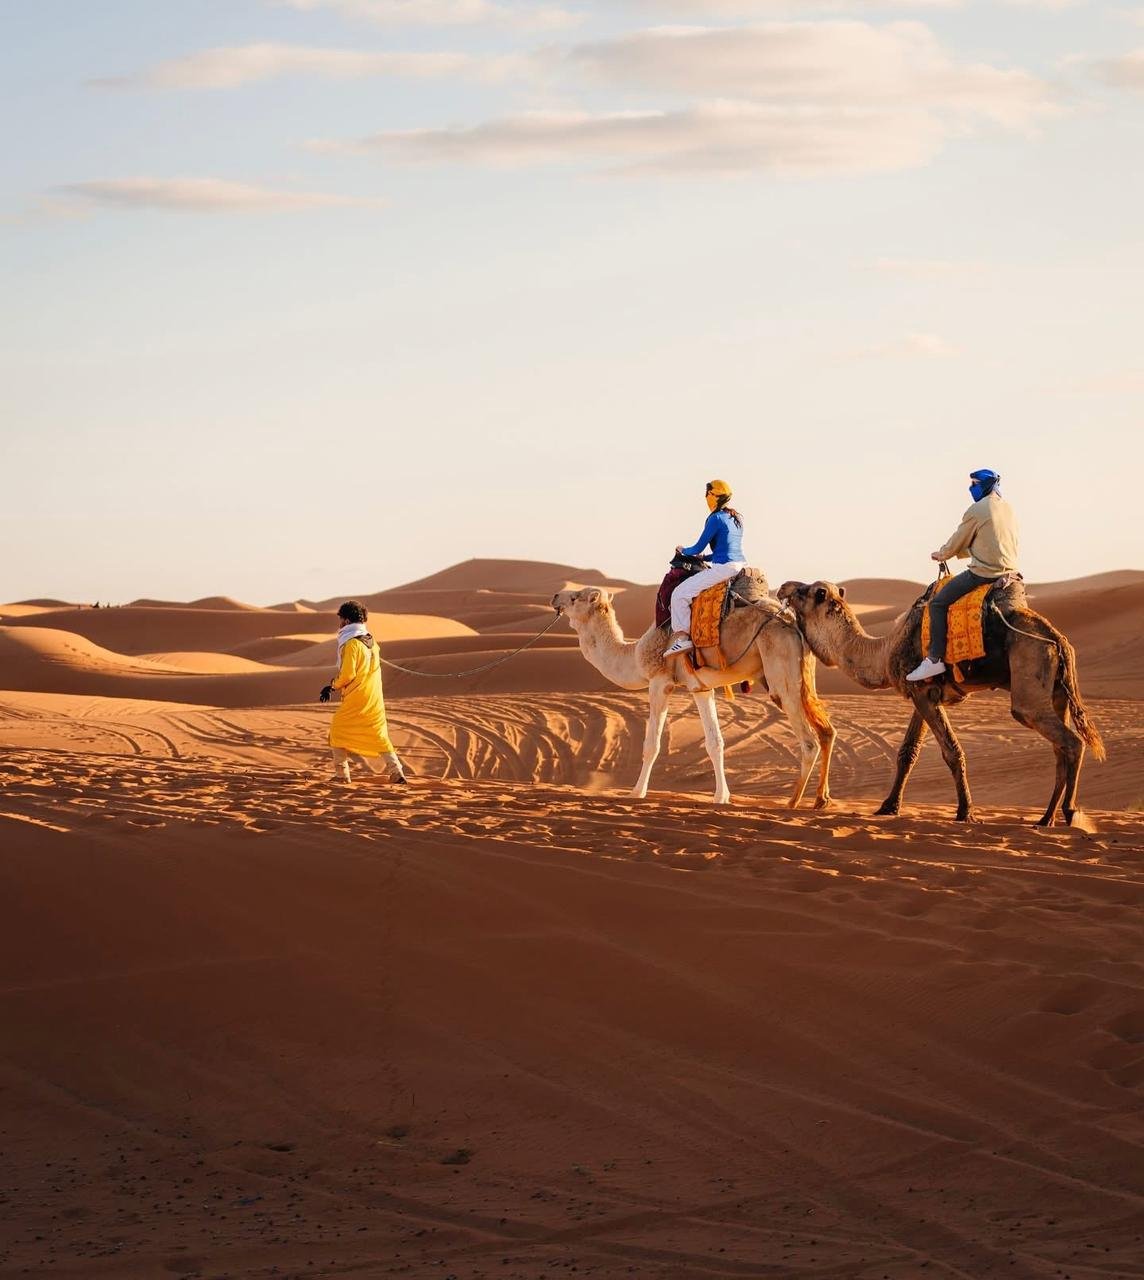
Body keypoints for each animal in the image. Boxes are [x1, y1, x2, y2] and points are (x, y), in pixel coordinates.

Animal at [551, 586, 834, 807]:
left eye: (575, 597)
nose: (555, 597)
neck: (633, 655)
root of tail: (791, 623)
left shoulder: (660, 682)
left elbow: (652, 745)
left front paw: (636, 792)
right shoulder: (700, 687)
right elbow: (715, 742)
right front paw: (721, 797)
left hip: (780, 672)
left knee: (808, 741)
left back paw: (793, 802)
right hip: (803, 675)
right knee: (826, 731)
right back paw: (820, 799)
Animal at [776, 578, 1105, 825]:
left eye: (811, 591)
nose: (783, 587)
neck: (885, 650)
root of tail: (1058, 641)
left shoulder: (924, 693)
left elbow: (952, 751)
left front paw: (965, 812)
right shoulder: (923, 694)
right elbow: (907, 752)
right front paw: (888, 807)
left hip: (1029, 684)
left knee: (1070, 741)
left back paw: (1070, 813)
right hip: (1055, 692)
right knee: (1061, 747)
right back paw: (1045, 818)